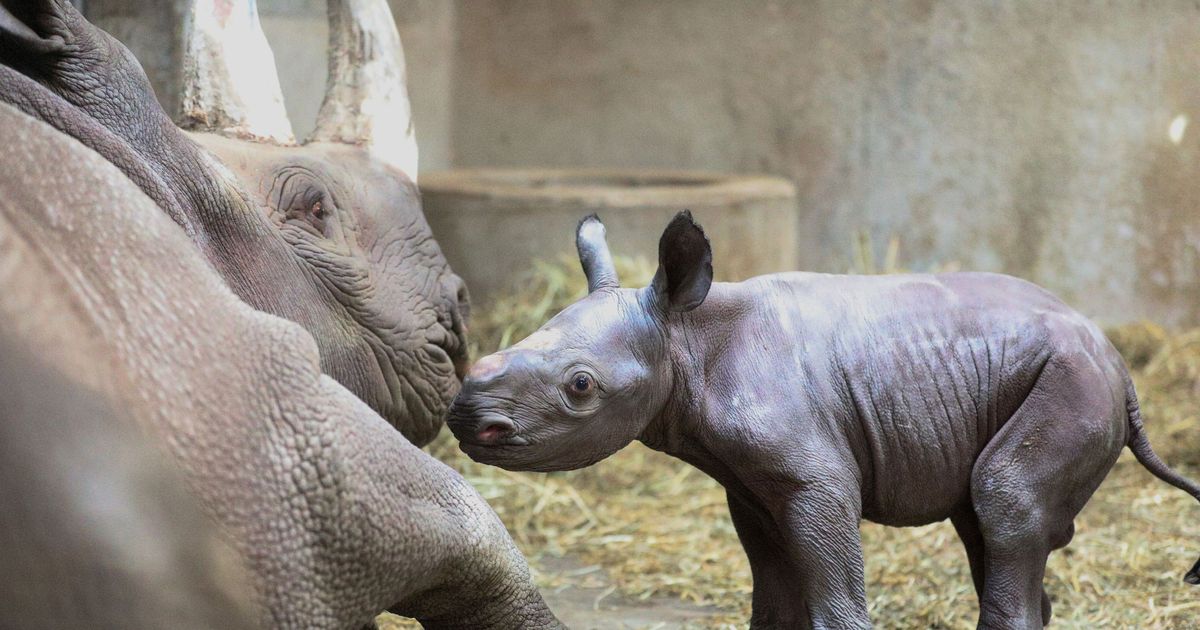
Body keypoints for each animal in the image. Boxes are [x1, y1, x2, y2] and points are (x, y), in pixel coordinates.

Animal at [451, 212, 1200, 628]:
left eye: (580, 387)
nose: (466, 419)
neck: (683, 335)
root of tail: (1118, 362)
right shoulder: (749, 488)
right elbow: (773, 601)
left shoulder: (817, 482)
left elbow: (834, 602)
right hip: (1054, 374)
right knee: (986, 519)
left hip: (1074, 379)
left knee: (1005, 498)